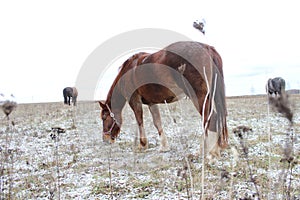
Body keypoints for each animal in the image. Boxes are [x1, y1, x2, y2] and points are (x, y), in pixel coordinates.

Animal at [98, 41, 227, 158]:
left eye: (104, 118)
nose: (105, 139)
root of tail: (207, 48)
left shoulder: (134, 101)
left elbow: (139, 120)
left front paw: (142, 145)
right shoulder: (151, 103)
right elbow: (157, 122)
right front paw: (164, 147)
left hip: (198, 97)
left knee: (210, 119)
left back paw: (207, 152)